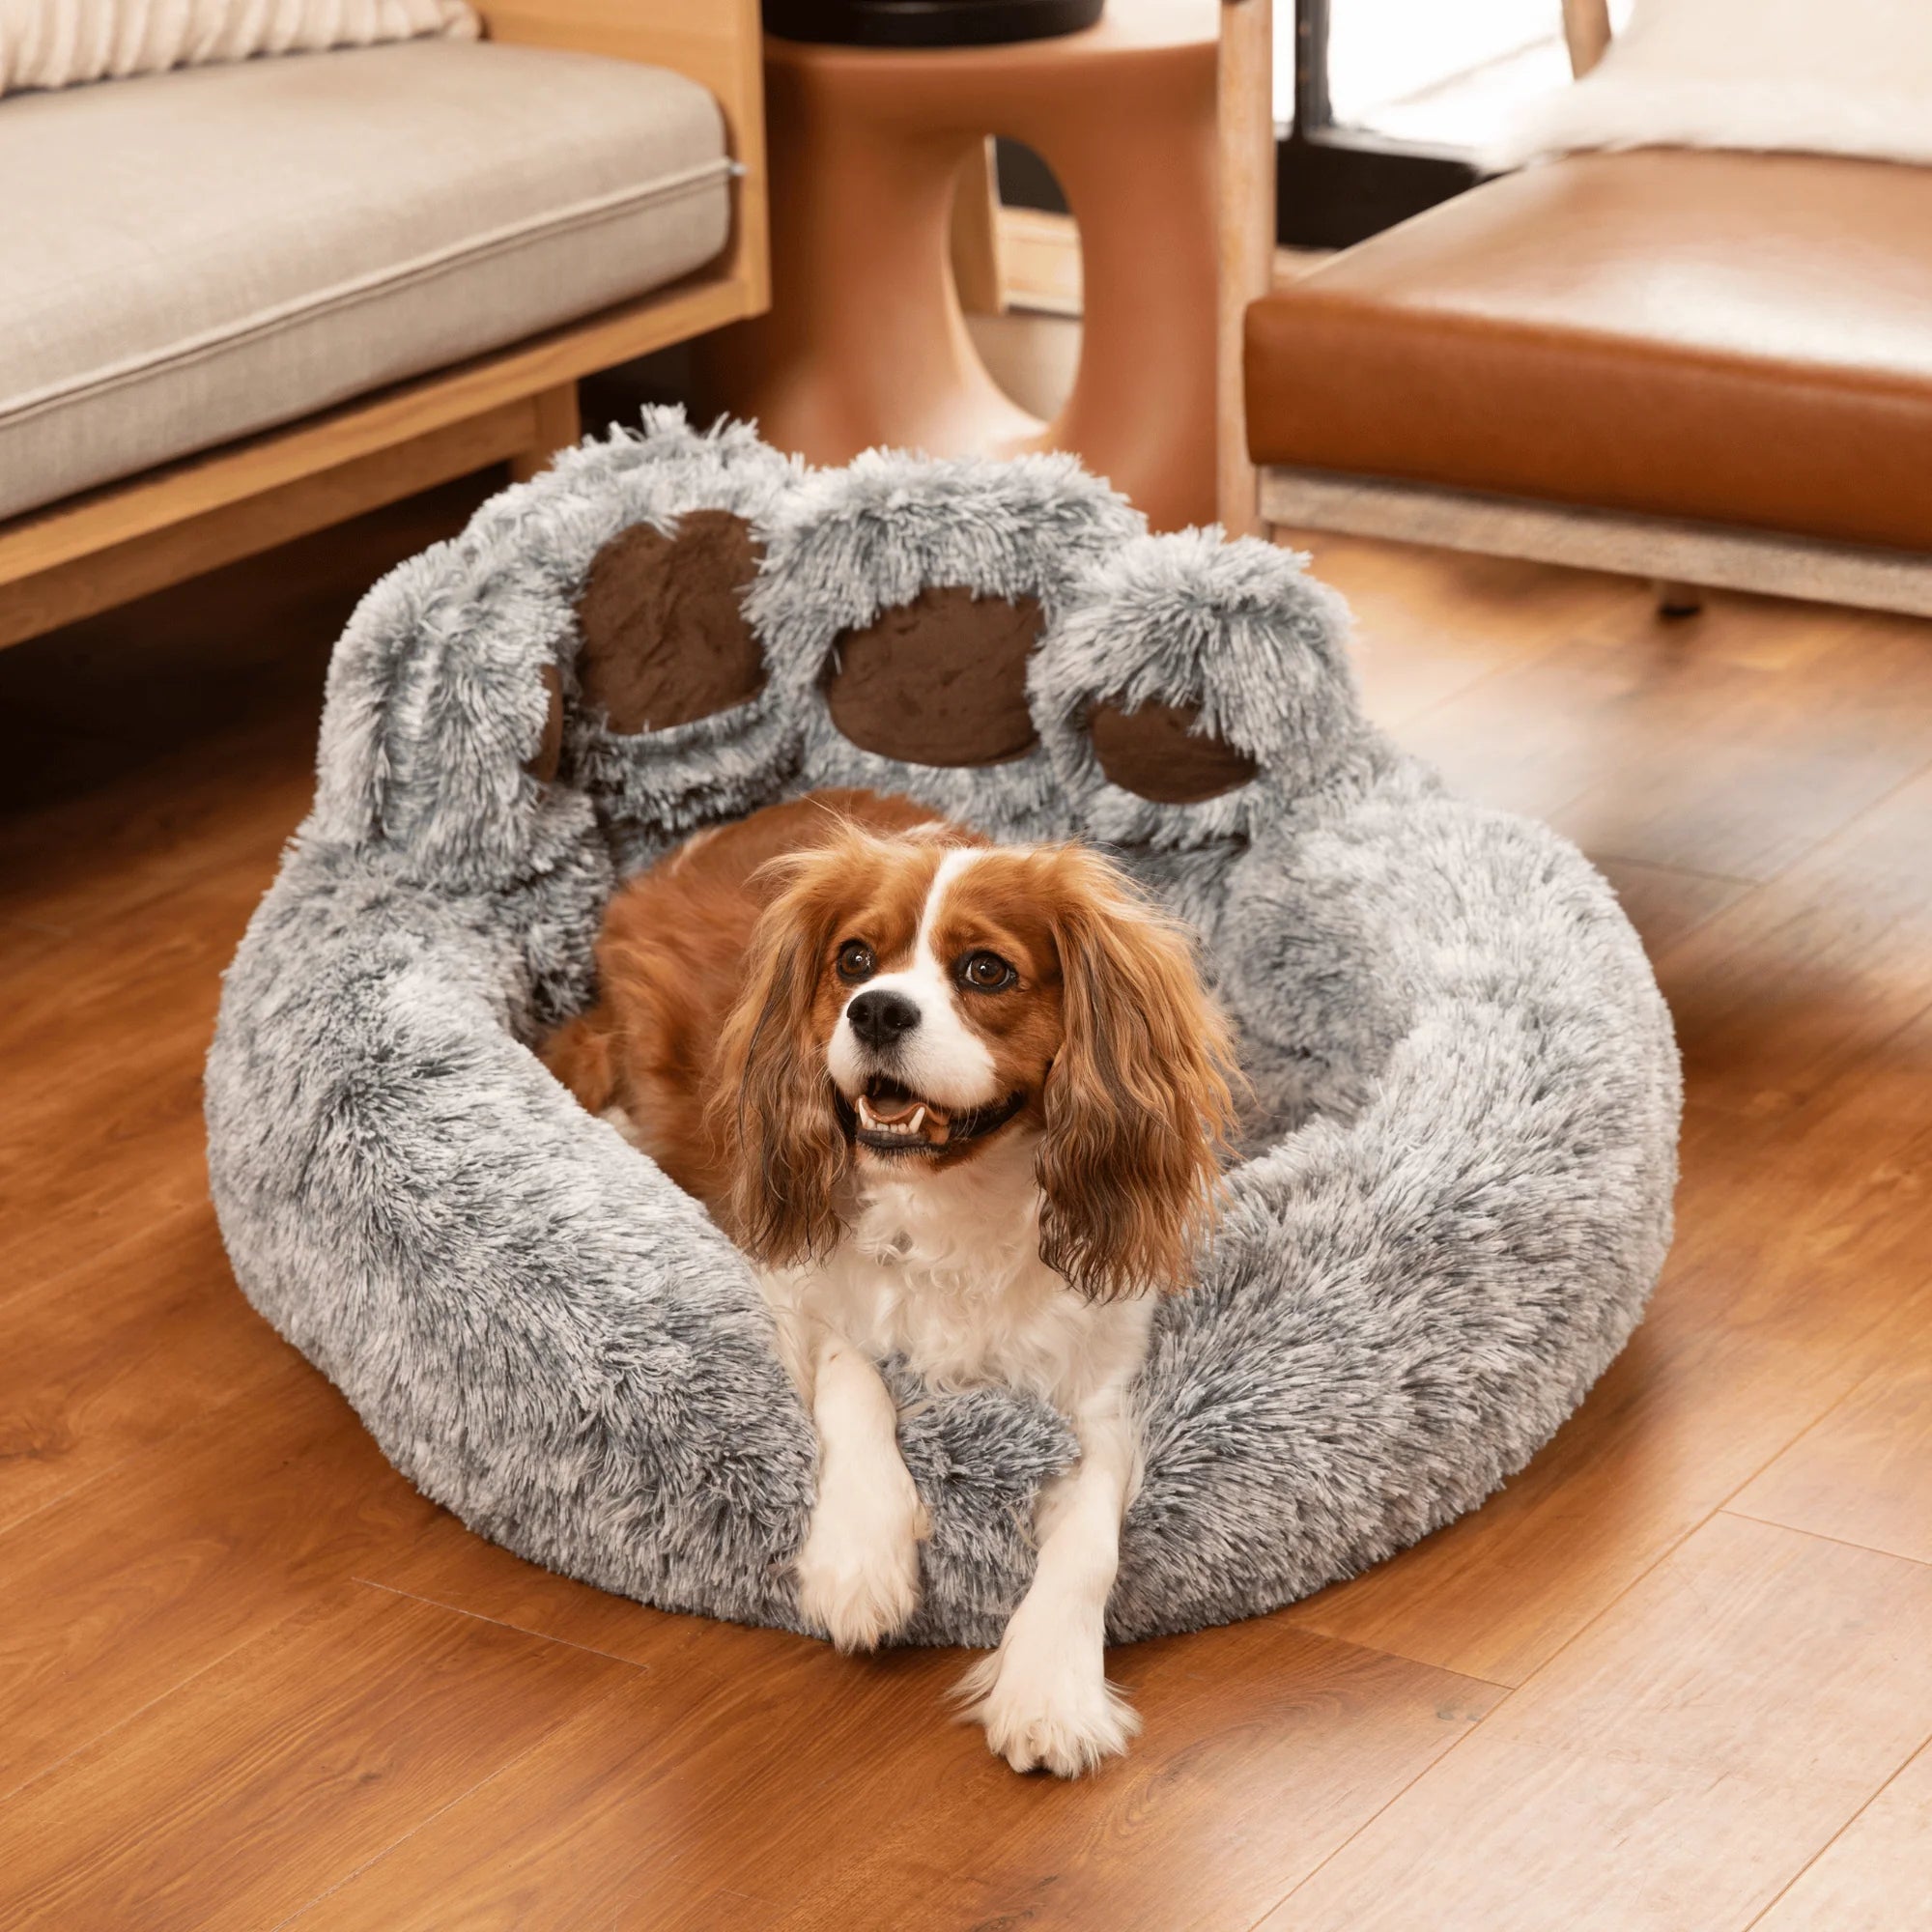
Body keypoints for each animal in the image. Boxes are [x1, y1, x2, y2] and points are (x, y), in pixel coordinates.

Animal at [545, 788, 1236, 1777]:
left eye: (986, 970)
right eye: (854, 962)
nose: (874, 1012)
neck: (955, 1196)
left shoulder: (1097, 1394)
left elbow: (1089, 1548)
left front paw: (1049, 1689)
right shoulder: (788, 1283)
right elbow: (856, 1379)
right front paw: (860, 1559)